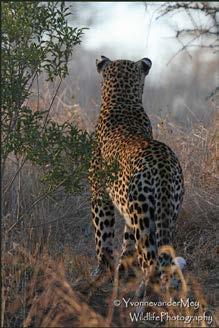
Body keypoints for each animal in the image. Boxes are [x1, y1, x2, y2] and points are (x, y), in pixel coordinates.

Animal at [88, 55, 184, 290]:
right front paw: (121, 270)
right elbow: (127, 243)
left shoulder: (99, 196)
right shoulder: (127, 209)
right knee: (163, 253)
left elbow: (102, 236)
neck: (122, 101)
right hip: (167, 211)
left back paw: (148, 290)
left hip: (143, 215)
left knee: (151, 258)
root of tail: (163, 164)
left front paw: (100, 271)